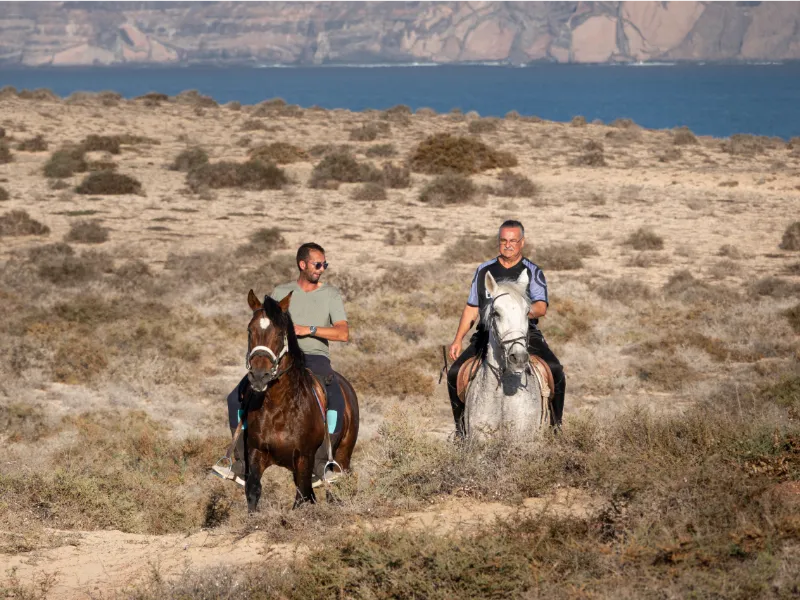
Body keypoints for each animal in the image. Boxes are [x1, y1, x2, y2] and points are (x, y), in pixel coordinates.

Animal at [241, 290, 360, 510]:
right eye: (249, 331)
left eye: (280, 333)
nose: (259, 376)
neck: (278, 407)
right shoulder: (256, 451)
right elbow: (253, 491)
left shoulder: (304, 457)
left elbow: (302, 498)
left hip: (342, 456)